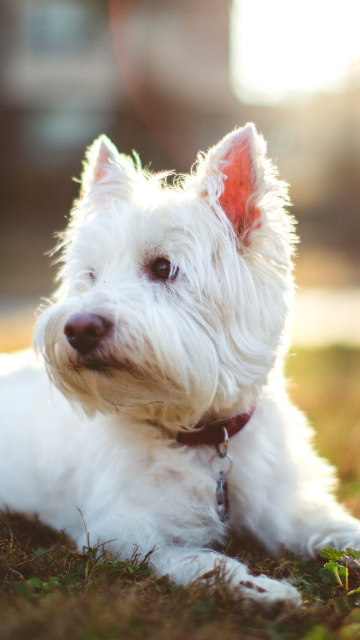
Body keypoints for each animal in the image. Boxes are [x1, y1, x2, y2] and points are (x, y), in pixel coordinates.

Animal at [0, 124, 360, 604]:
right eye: (91, 275)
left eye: (162, 267)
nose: (78, 328)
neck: (203, 435)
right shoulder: (128, 534)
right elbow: (204, 561)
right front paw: (265, 590)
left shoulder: (292, 507)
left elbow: (340, 529)